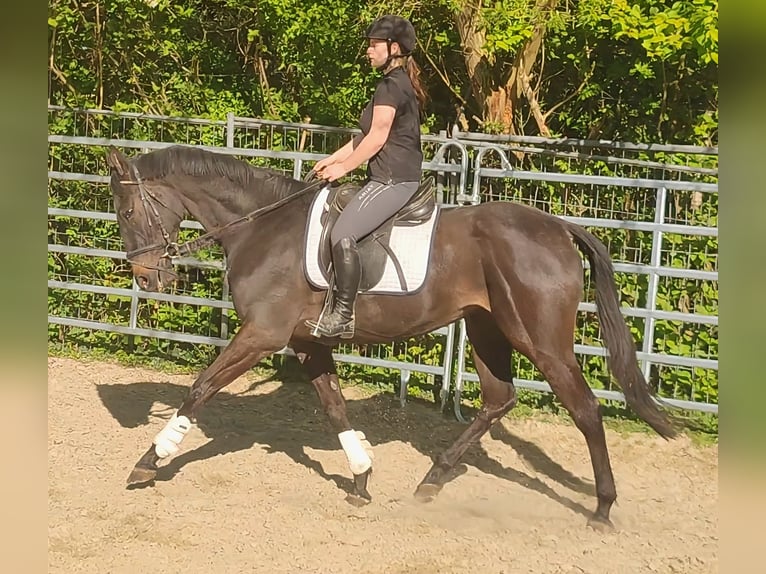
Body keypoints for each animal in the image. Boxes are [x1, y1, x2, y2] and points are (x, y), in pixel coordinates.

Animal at [105, 143, 678, 530]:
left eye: (128, 211)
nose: (147, 278)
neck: (262, 229)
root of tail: (558, 227)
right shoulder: (307, 342)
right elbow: (334, 406)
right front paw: (360, 479)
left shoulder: (262, 335)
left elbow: (200, 389)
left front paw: (147, 463)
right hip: (486, 328)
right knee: (499, 399)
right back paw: (432, 480)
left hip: (540, 339)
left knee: (585, 409)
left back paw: (602, 508)